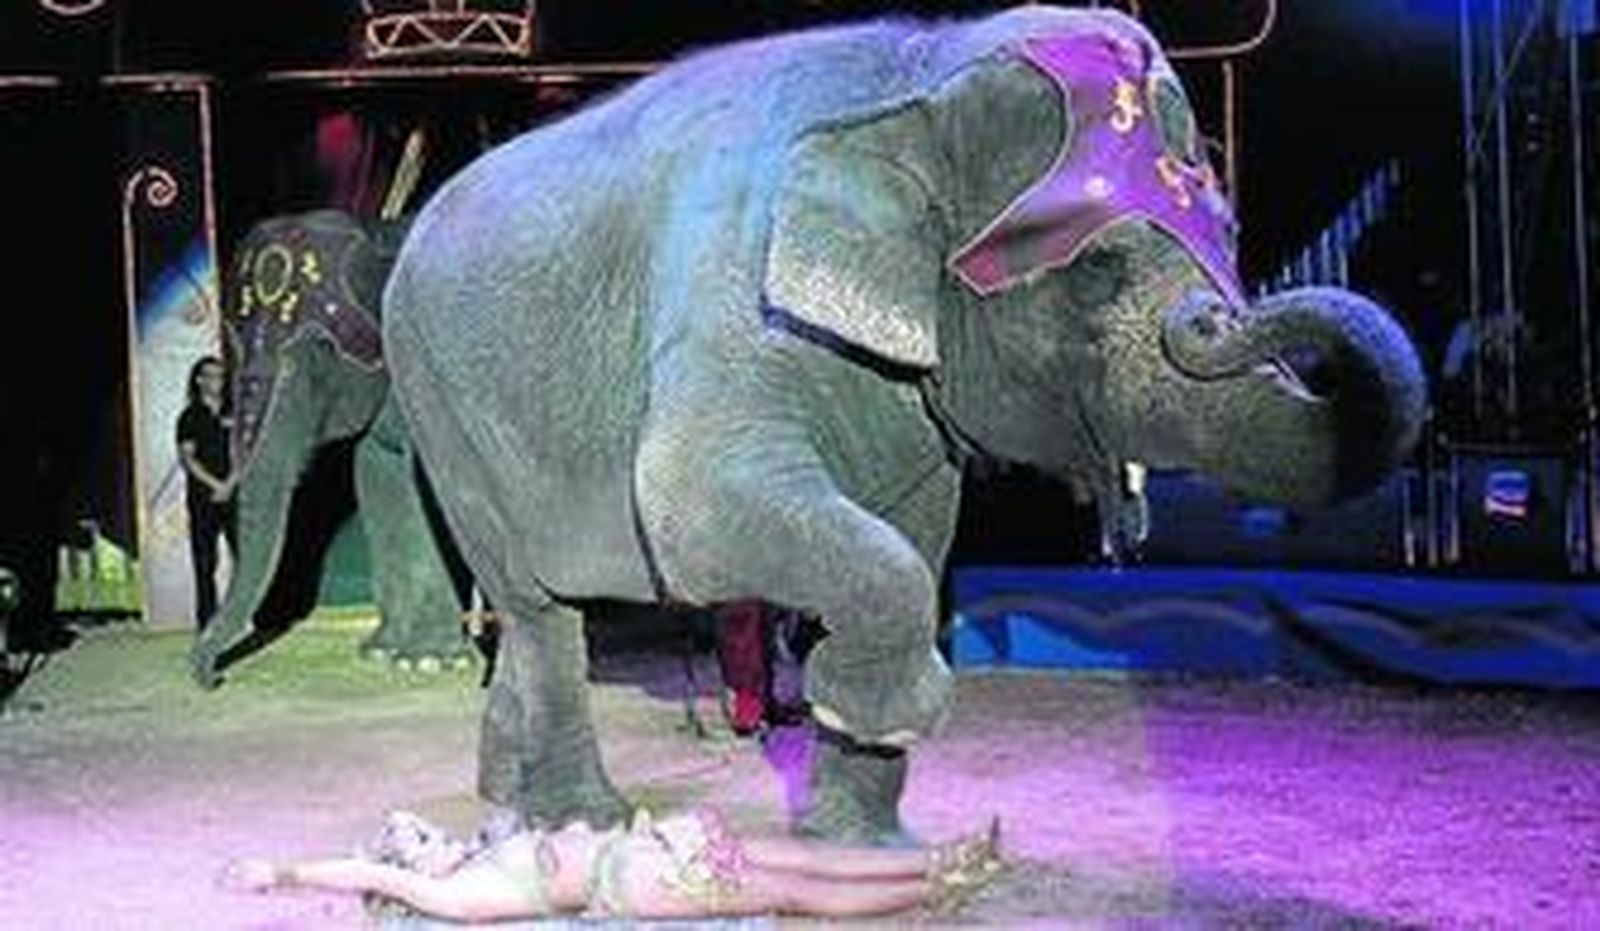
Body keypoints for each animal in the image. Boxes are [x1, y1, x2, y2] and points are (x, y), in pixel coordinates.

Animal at [191, 209, 471, 684]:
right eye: (232, 351)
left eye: (322, 350)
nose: (211, 678)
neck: (380, 231)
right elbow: (376, 469)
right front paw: (389, 653)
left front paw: (437, 660)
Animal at [281, 7, 1424, 843]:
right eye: (1096, 268)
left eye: (1225, 229)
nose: (1215, 319)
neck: (919, 76)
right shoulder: (724, 289)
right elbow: (696, 510)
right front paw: (866, 708)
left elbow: (920, 534)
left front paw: (862, 844)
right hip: (442, 402)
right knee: (538, 607)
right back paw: (582, 822)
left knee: (530, 620)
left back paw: (507, 803)